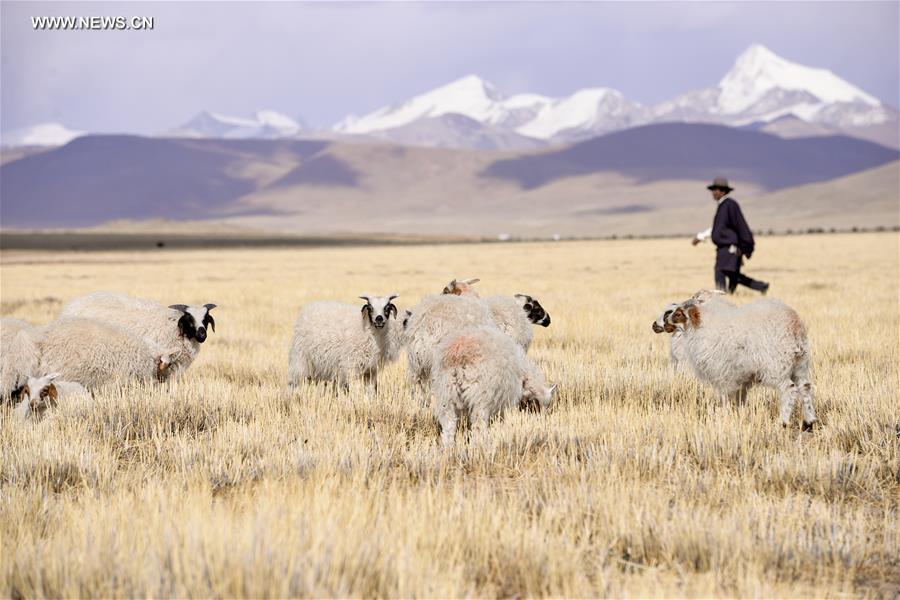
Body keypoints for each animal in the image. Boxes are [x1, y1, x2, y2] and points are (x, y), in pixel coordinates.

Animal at [668, 292, 816, 428]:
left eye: (679, 314)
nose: (666, 320)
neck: (701, 327)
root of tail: (793, 325)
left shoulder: (723, 375)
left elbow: (725, 398)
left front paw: (725, 416)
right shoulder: (740, 377)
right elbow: (740, 398)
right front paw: (740, 415)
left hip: (776, 367)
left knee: (789, 389)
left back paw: (783, 422)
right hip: (800, 365)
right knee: (805, 387)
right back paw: (810, 421)